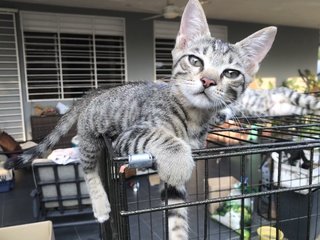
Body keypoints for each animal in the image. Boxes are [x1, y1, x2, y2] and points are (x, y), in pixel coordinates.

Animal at [3, 0, 276, 239]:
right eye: (195, 60)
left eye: (231, 73)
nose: (207, 81)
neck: (194, 117)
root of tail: (95, 92)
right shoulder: (130, 135)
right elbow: (163, 138)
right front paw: (179, 160)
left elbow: (176, 215)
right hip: (91, 134)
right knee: (87, 167)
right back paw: (100, 206)